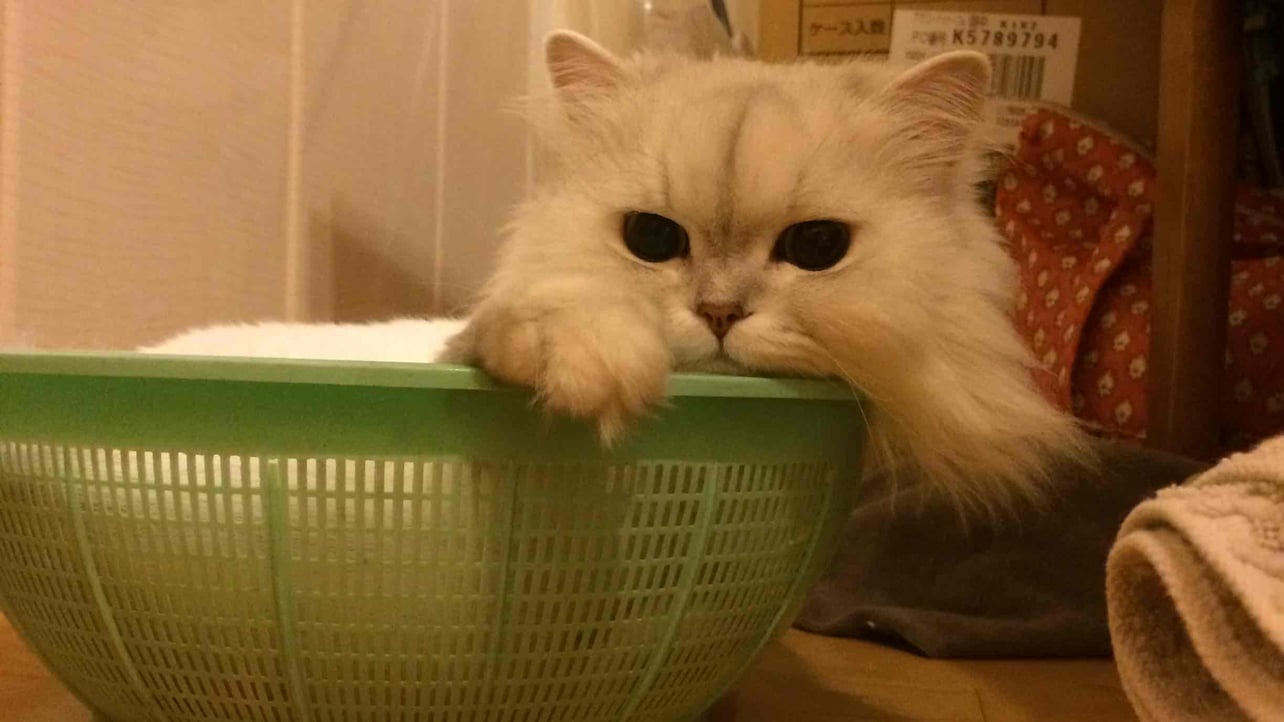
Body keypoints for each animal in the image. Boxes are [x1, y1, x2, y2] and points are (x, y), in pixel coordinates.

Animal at [145, 31, 1091, 512]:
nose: (719, 313)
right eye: (651, 238)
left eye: (818, 248)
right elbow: (547, 323)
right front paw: (599, 366)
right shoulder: (474, 342)